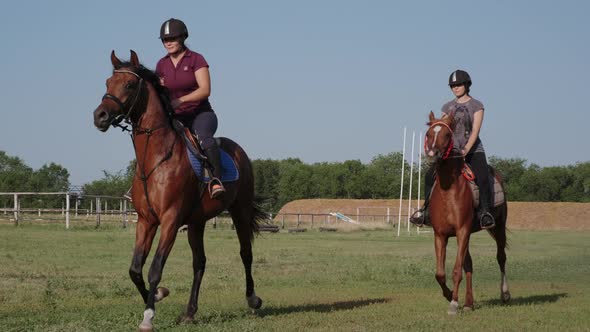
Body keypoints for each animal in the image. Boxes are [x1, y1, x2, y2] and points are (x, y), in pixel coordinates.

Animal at [92, 50, 266, 330]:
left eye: (129, 85)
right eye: (108, 82)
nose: (100, 116)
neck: (155, 159)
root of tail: (239, 152)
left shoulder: (170, 220)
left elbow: (154, 268)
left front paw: (148, 316)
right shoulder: (146, 221)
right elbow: (135, 269)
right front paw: (158, 295)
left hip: (239, 211)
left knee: (245, 253)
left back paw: (253, 300)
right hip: (197, 222)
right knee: (199, 263)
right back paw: (190, 312)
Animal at [424, 111, 512, 314]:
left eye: (446, 135)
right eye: (429, 133)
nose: (433, 154)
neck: (448, 191)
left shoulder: (462, 231)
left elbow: (457, 270)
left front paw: (454, 304)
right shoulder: (441, 234)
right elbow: (440, 273)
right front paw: (450, 295)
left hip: (499, 227)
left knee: (501, 257)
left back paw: (504, 294)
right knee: (469, 265)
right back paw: (469, 303)